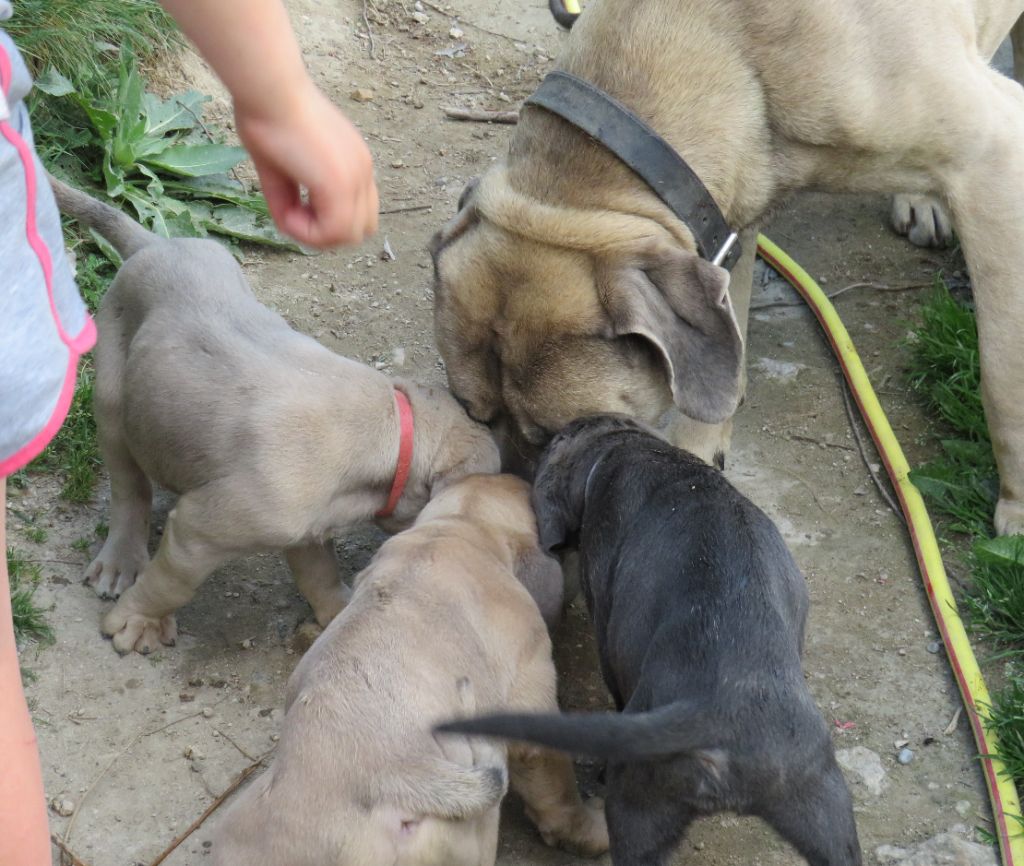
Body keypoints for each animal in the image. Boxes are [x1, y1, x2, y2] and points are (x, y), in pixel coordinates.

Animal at [49, 180, 497, 655]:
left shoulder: (308, 529)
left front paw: (340, 612)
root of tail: (153, 244)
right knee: (129, 487)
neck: (396, 434)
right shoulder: (200, 532)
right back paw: (120, 562)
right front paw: (136, 621)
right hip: (114, 395)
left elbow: (319, 573)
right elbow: (169, 584)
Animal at [428, 0, 1024, 536]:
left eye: (558, 435)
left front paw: (1016, 514)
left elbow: (1003, 380)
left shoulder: (995, 157)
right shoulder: (726, 215)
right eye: (475, 414)